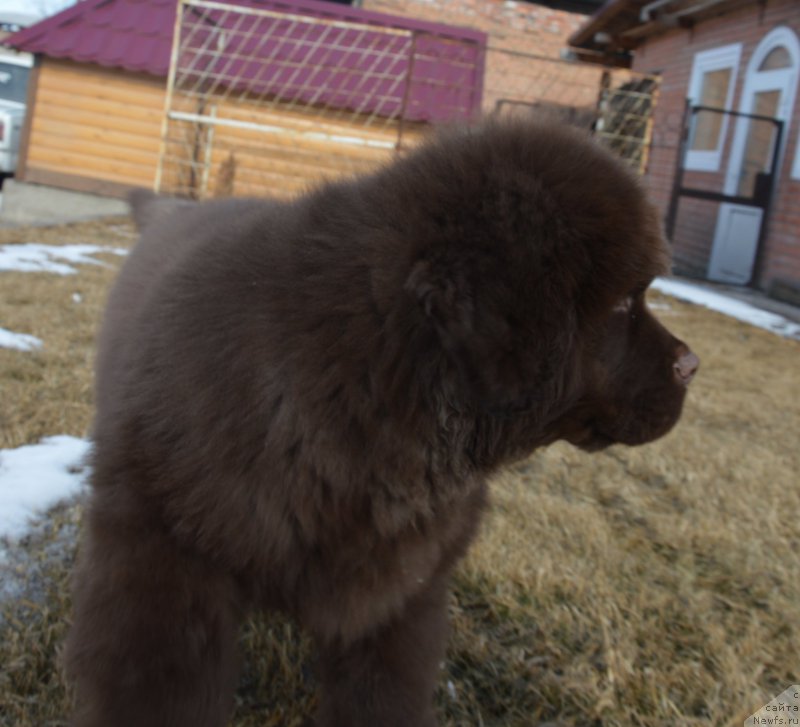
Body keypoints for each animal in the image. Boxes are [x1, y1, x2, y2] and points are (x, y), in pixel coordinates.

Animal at [65, 116, 696, 724]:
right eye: (623, 303)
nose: (692, 365)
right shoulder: (162, 572)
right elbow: (164, 696)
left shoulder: (399, 594)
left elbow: (382, 697)